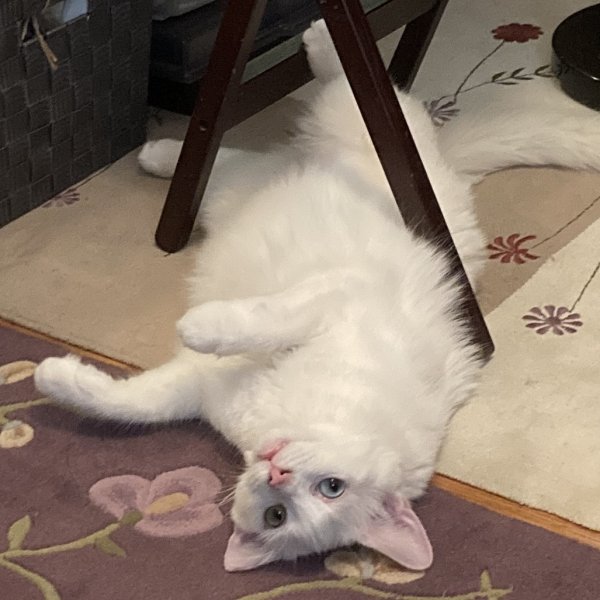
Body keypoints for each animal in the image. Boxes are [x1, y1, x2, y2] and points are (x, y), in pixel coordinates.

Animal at [35, 20, 600, 572]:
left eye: (293, 508)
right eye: (331, 486)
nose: (277, 474)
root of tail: (451, 174)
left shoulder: (196, 387)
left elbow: (129, 404)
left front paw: (53, 375)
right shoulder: (337, 298)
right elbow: (260, 320)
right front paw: (200, 326)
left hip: (242, 189)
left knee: (236, 160)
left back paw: (162, 150)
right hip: (357, 134)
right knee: (343, 89)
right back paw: (313, 44)